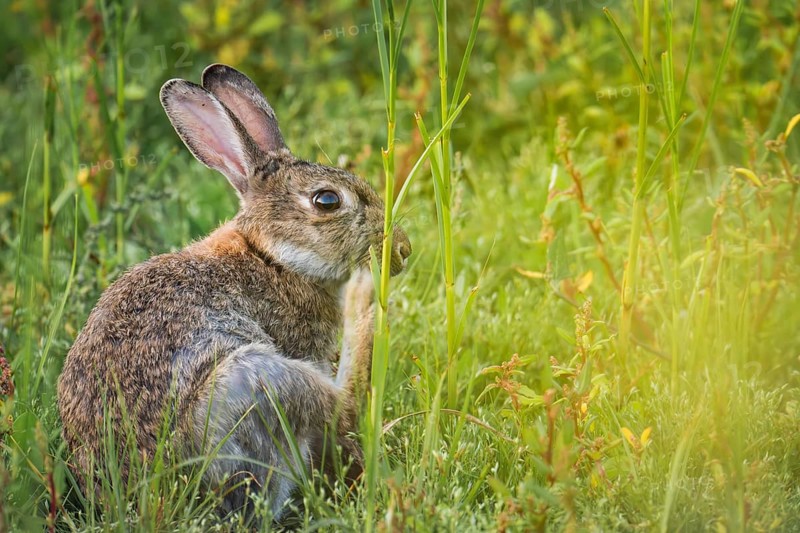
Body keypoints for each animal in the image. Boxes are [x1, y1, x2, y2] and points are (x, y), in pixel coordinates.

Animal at [56, 63, 412, 519]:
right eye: (327, 200)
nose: (402, 250)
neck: (270, 256)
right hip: (254, 382)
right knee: (342, 407)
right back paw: (362, 300)